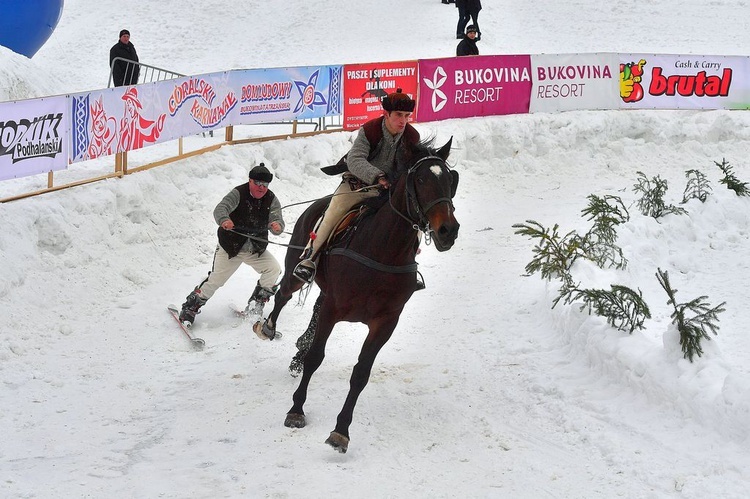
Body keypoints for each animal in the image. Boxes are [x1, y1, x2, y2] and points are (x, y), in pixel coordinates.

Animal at [258, 137, 462, 454]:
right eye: (420, 179)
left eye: (450, 180)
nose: (447, 230)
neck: (382, 249)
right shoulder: (333, 309)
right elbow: (316, 357)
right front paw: (296, 410)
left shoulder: (385, 322)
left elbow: (361, 373)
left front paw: (341, 430)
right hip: (296, 269)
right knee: (283, 295)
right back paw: (269, 327)